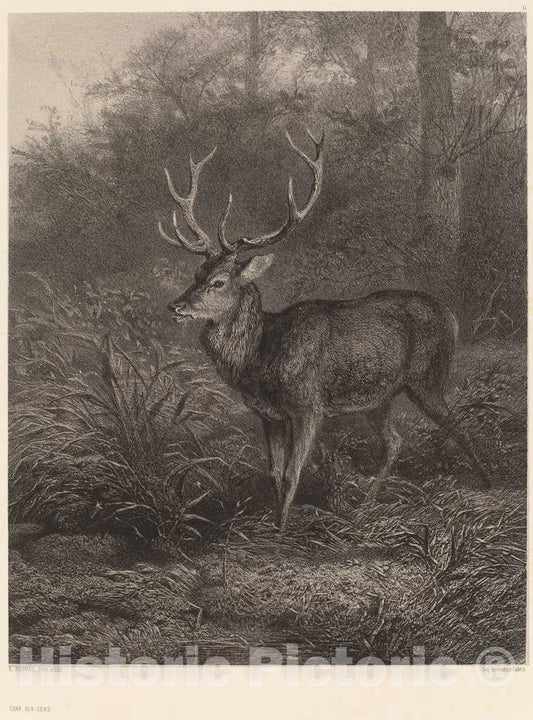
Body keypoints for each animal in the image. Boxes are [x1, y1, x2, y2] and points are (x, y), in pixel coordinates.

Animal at [159, 129, 490, 531]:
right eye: (196, 274)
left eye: (219, 282)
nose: (176, 306)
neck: (261, 356)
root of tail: (452, 317)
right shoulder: (269, 414)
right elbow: (274, 473)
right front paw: (275, 522)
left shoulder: (309, 406)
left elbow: (292, 474)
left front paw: (282, 530)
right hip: (379, 397)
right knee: (396, 441)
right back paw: (365, 506)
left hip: (427, 377)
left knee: (458, 425)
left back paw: (487, 485)